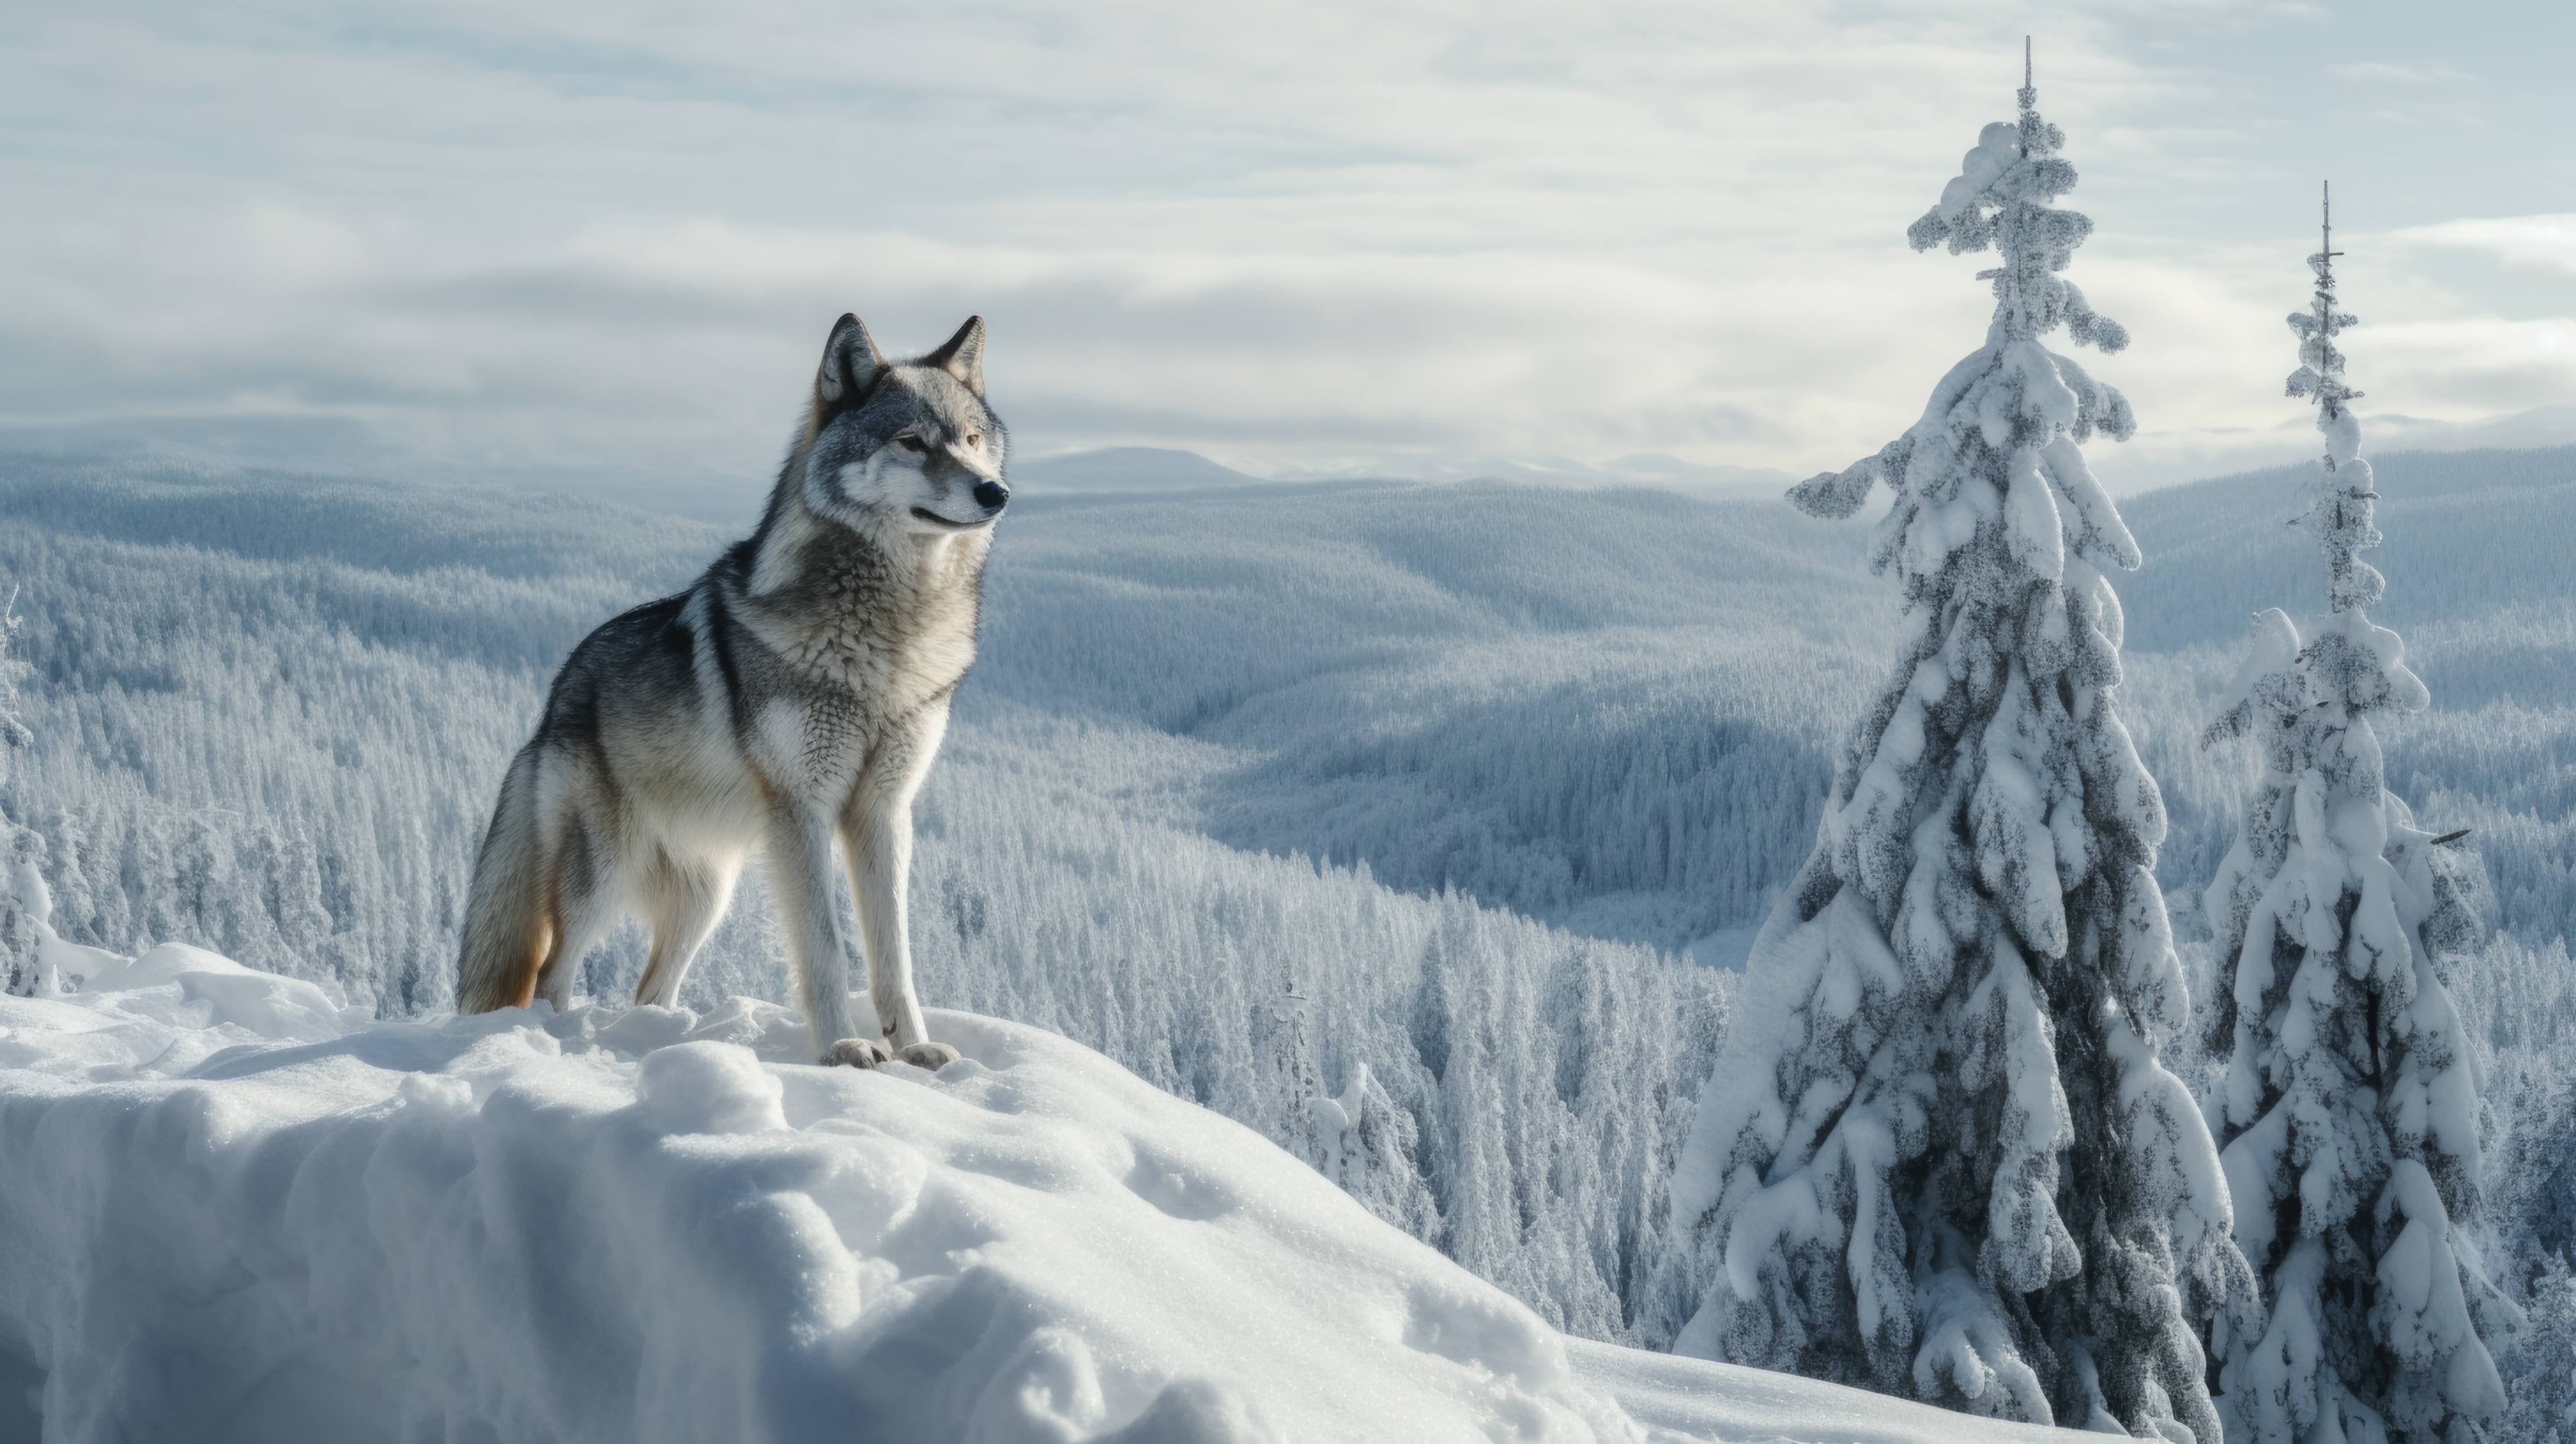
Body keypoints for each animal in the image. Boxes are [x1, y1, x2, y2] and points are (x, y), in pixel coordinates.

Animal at [454, 312, 1006, 1069]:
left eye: (973, 440)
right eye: (912, 442)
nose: (994, 492)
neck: (886, 644)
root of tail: (554, 696)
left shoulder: (884, 813)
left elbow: (895, 956)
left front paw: (916, 1050)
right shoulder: (803, 812)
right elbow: (827, 950)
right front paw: (841, 1050)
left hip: (705, 898)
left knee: (648, 989)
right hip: (603, 878)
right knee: (550, 975)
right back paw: (559, 1046)